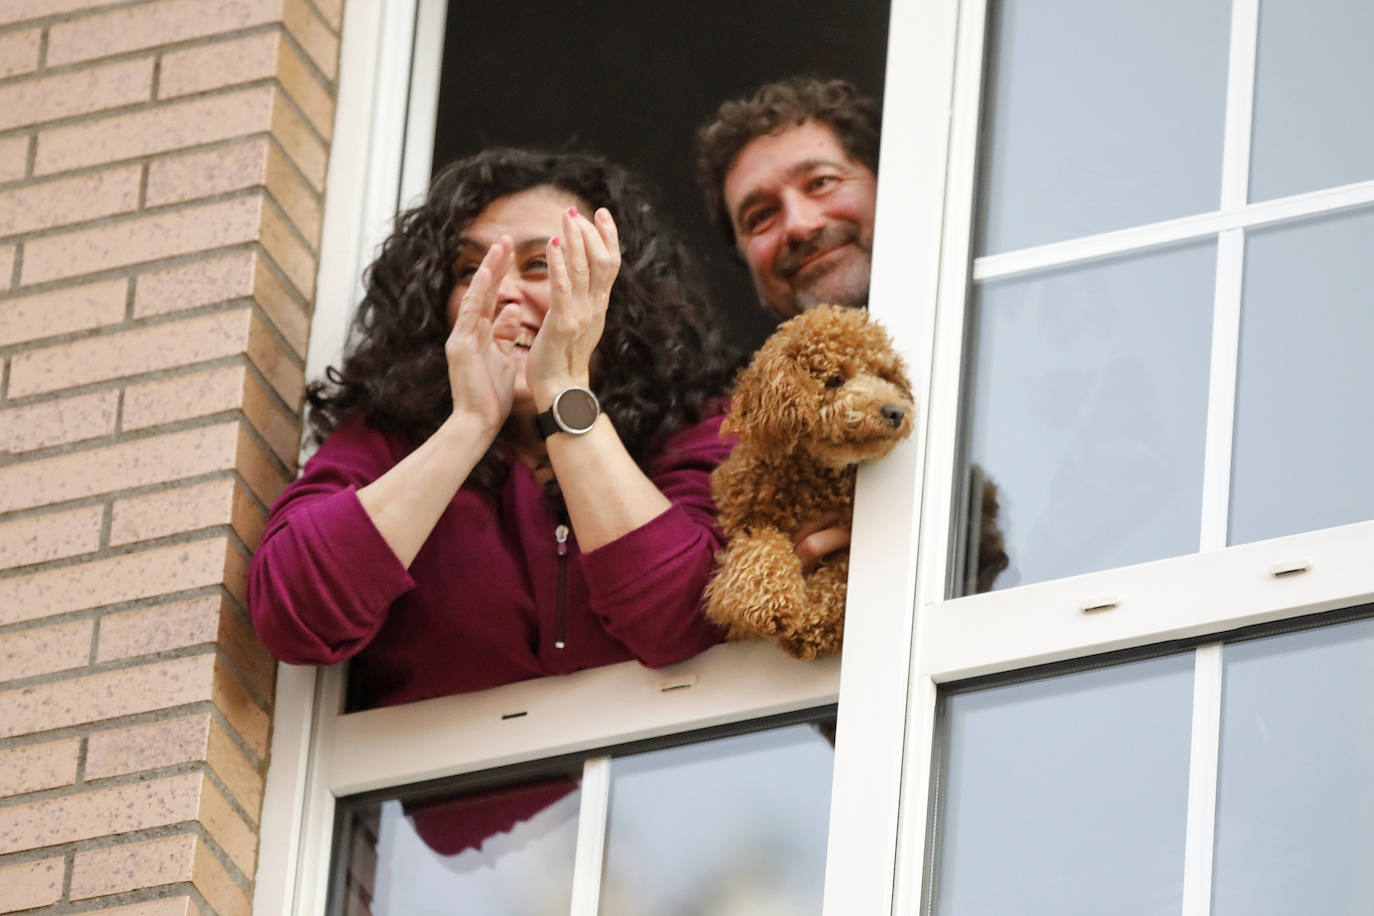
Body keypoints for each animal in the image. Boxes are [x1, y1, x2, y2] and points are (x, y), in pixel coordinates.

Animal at [703, 306, 917, 659]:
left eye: (884, 376)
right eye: (835, 380)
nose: (895, 411)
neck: (815, 477)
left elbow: (840, 576)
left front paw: (815, 621)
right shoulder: (747, 519)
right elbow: (761, 548)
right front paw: (769, 602)